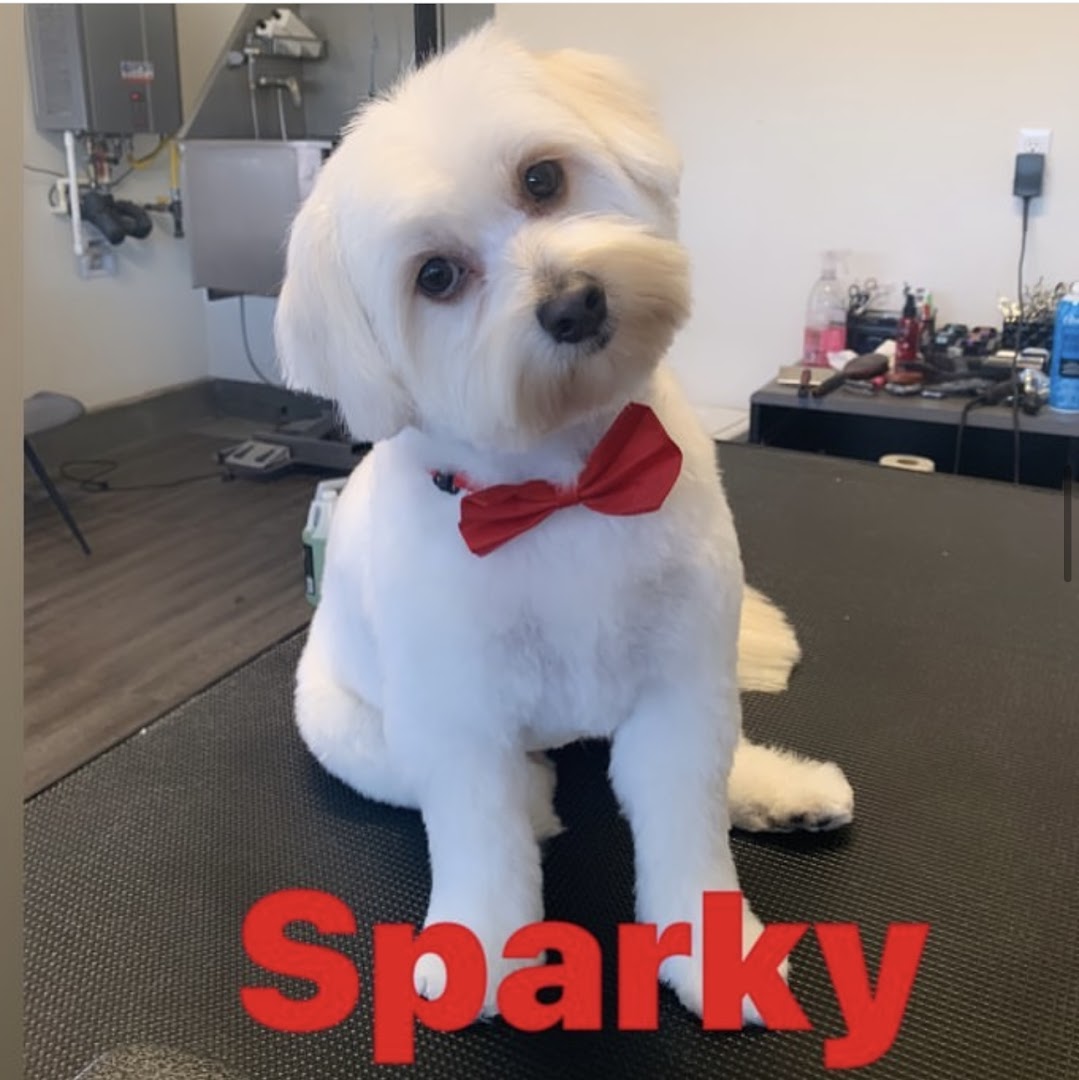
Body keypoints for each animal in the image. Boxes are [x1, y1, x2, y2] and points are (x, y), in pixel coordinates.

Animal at [274, 26, 853, 1023]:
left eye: (542, 179)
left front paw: (714, 953)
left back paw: (779, 790)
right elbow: (481, 839)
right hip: (346, 729)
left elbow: (687, 827)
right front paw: (480, 949)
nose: (574, 301)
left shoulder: (679, 690)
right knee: (454, 781)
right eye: (435, 277)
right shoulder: (460, 724)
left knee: (721, 765)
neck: (563, 483)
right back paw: (543, 797)